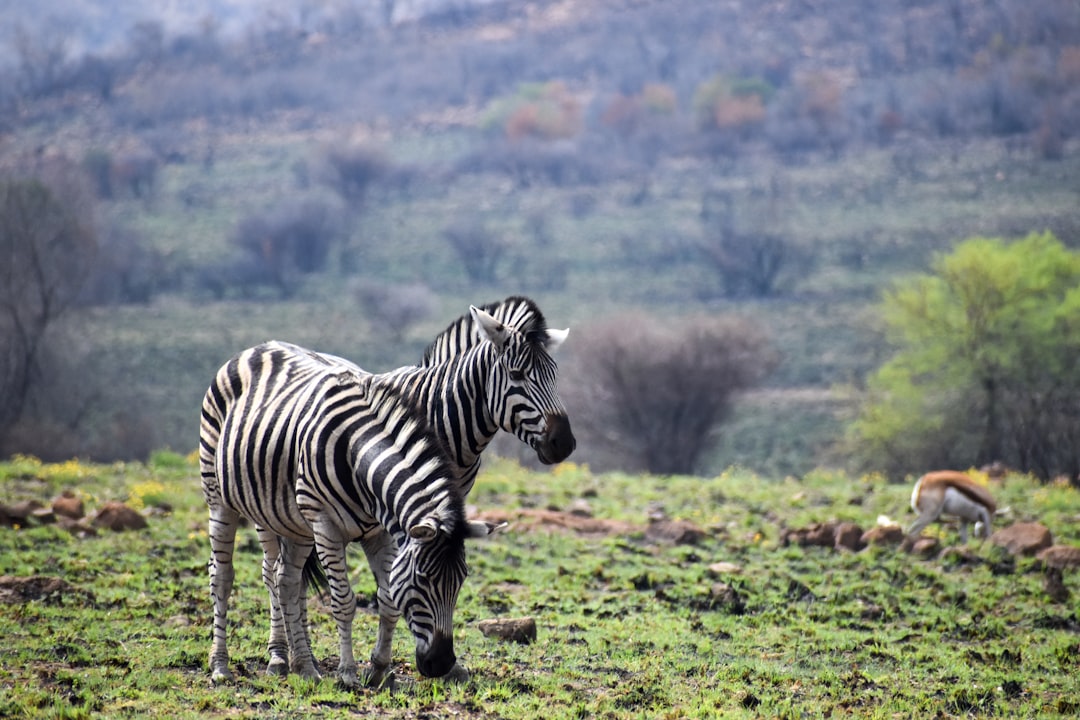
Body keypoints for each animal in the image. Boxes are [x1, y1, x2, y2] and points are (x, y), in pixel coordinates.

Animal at [199, 341, 501, 690]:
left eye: (462, 579)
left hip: (292, 520)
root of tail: (258, 347)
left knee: (285, 580)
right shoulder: (326, 527)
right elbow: (343, 601)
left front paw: (379, 669)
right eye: (423, 578)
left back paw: (304, 666)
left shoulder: (380, 534)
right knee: (222, 576)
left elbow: (388, 599)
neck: (357, 455)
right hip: (220, 499)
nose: (440, 664)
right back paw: (221, 665)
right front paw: (347, 672)